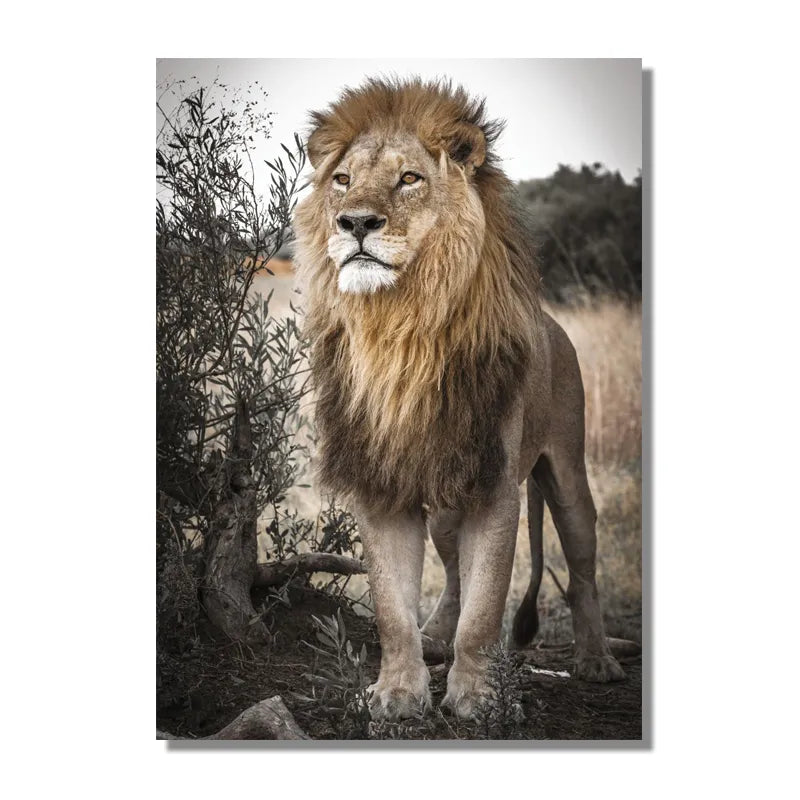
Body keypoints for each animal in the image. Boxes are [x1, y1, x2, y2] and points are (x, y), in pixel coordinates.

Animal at [293, 78, 625, 721]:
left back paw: (596, 659)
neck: (400, 327)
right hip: (448, 502)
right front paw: (397, 692)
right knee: (450, 576)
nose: (354, 223)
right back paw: (435, 638)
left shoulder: (494, 490)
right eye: (342, 179)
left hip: (567, 475)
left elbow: (486, 605)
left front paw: (477, 697)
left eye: (409, 179)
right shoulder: (382, 483)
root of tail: (554, 324)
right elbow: (394, 609)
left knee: (582, 571)